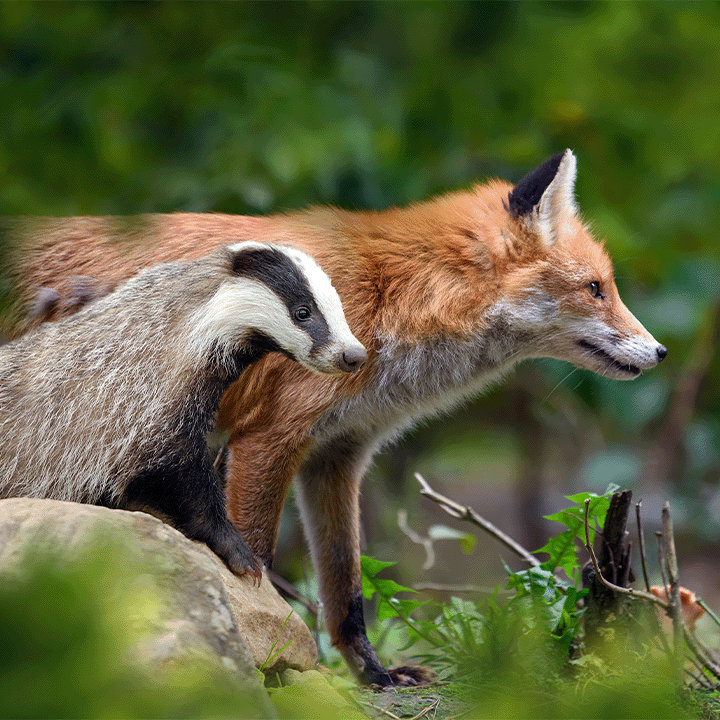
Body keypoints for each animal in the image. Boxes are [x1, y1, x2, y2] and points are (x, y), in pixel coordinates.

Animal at [0, 150, 664, 688]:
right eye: (596, 288)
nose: (659, 352)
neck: (391, 294)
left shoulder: (338, 455)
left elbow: (346, 591)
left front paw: (373, 676)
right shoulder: (268, 439)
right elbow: (257, 559)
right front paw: (270, 660)